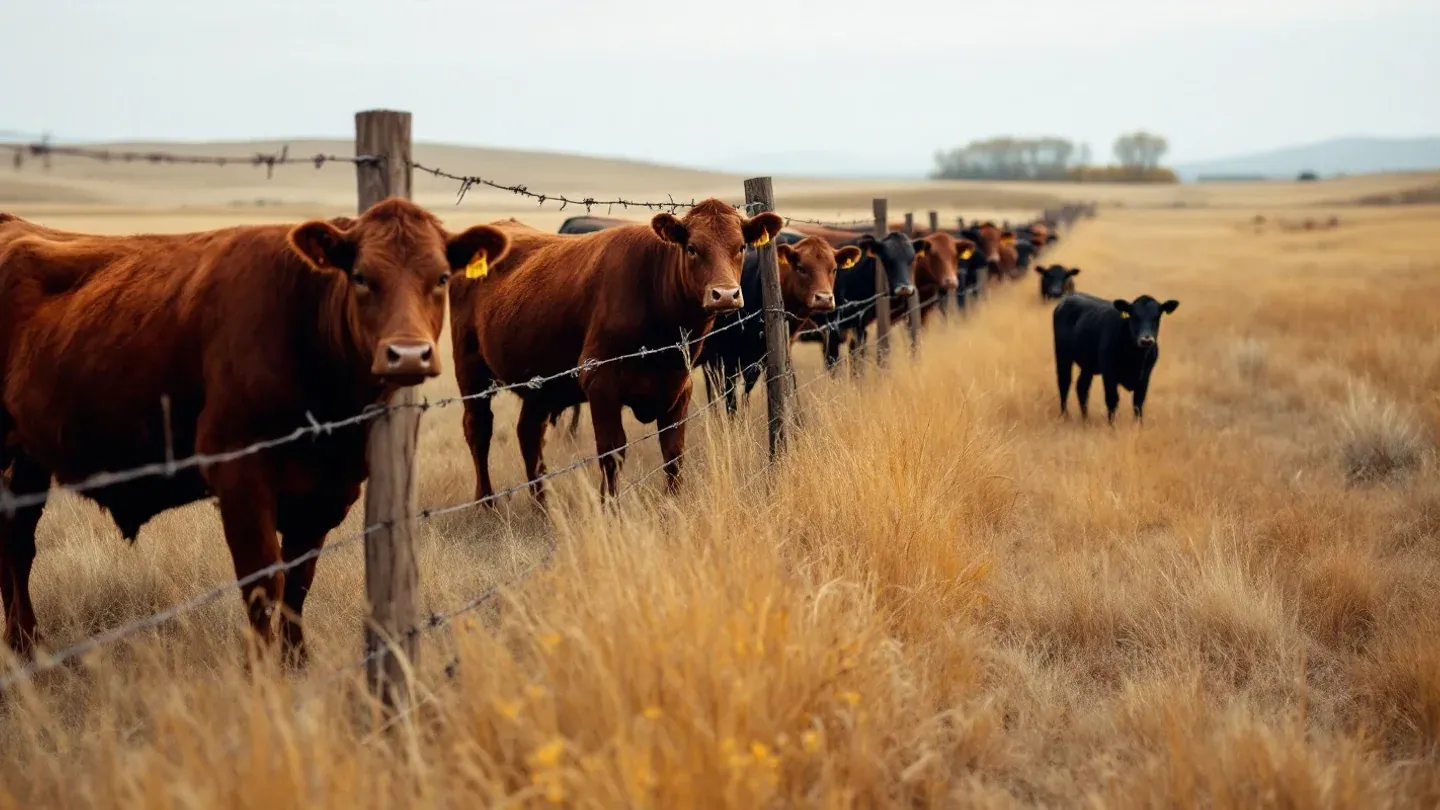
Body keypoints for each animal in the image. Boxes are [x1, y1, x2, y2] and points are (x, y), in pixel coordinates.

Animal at [0, 198, 508, 664]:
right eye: (362, 276)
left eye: (441, 277)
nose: (407, 355)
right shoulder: (239, 474)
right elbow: (264, 583)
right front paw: (265, 674)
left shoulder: (329, 489)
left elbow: (298, 583)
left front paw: (296, 661)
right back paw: (24, 645)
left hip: (27, 459)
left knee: (17, 538)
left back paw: (23, 645)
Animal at [448, 199, 783, 502]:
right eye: (692, 248)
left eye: (741, 247)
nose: (725, 294)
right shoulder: (601, 382)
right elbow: (612, 452)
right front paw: (610, 509)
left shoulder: (679, 388)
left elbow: (673, 452)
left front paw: (674, 504)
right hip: (469, 367)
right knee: (478, 429)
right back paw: (487, 502)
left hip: (539, 383)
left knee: (529, 434)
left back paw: (542, 505)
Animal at [699, 237, 860, 414]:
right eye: (801, 268)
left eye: (834, 269)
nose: (824, 298)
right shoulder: (726, 357)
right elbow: (731, 401)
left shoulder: (760, 359)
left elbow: (746, 392)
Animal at [1052, 292, 1180, 424]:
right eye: (1134, 316)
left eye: (1157, 317)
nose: (1146, 340)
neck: (1136, 358)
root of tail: (1070, 296)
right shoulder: (1109, 372)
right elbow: (1112, 400)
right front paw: (1112, 426)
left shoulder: (1145, 375)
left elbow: (1138, 402)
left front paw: (1138, 425)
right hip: (1062, 356)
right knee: (1064, 383)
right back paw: (1065, 416)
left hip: (1088, 365)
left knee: (1082, 387)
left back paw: (1085, 419)